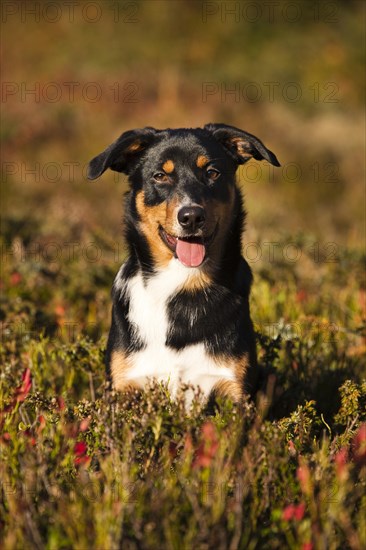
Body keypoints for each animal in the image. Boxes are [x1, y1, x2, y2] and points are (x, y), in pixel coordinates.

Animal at [88, 124, 280, 406]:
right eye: (160, 176)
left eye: (212, 173)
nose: (191, 217)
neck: (183, 284)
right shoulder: (124, 386)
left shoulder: (233, 390)